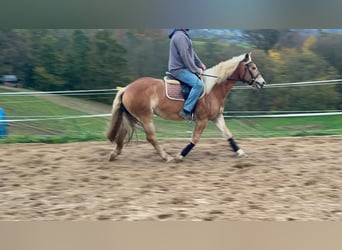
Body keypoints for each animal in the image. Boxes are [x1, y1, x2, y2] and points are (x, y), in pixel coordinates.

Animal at [105, 52, 266, 162]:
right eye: (253, 67)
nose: (262, 82)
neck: (213, 89)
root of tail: (127, 88)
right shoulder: (202, 120)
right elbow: (195, 138)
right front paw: (180, 155)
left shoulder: (216, 117)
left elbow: (228, 134)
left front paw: (240, 152)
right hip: (145, 116)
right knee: (151, 137)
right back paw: (166, 157)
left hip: (131, 116)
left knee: (123, 133)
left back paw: (114, 154)